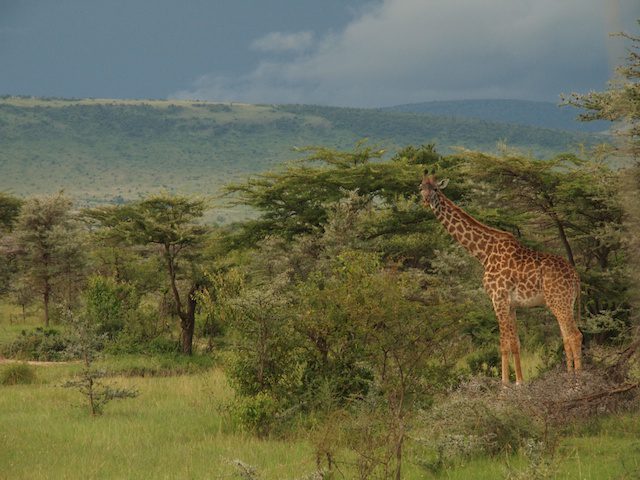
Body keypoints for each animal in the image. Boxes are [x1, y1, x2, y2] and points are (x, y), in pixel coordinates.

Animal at [418, 174, 584, 384]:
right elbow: (515, 343)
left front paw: (505, 385)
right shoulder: (511, 304)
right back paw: (568, 377)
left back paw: (577, 383)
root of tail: (576, 276)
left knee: (575, 336)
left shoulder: (498, 298)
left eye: (436, 190)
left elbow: (503, 344)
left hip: (559, 301)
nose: (426, 201)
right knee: (567, 338)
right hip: (563, 302)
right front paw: (520, 382)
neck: (484, 253)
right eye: (421, 188)